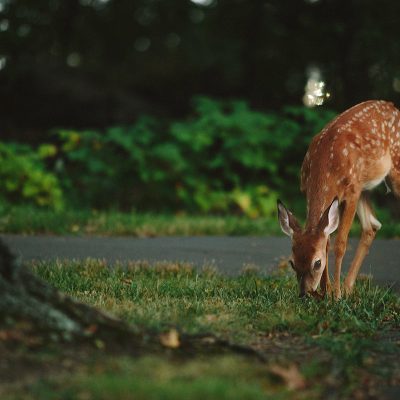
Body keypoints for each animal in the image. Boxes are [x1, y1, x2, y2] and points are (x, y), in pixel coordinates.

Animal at [278, 100, 400, 300]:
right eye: (292, 263)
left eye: (317, 263)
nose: (304, 293)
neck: (326, 167)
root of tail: (393, 106)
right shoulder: (310, 190)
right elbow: (326, 240)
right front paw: (326, 291)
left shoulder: (350, 192)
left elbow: (340, 243)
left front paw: (336, 295)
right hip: (364, 187)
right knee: (372, 226)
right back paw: (349, 287)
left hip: (392, 172)